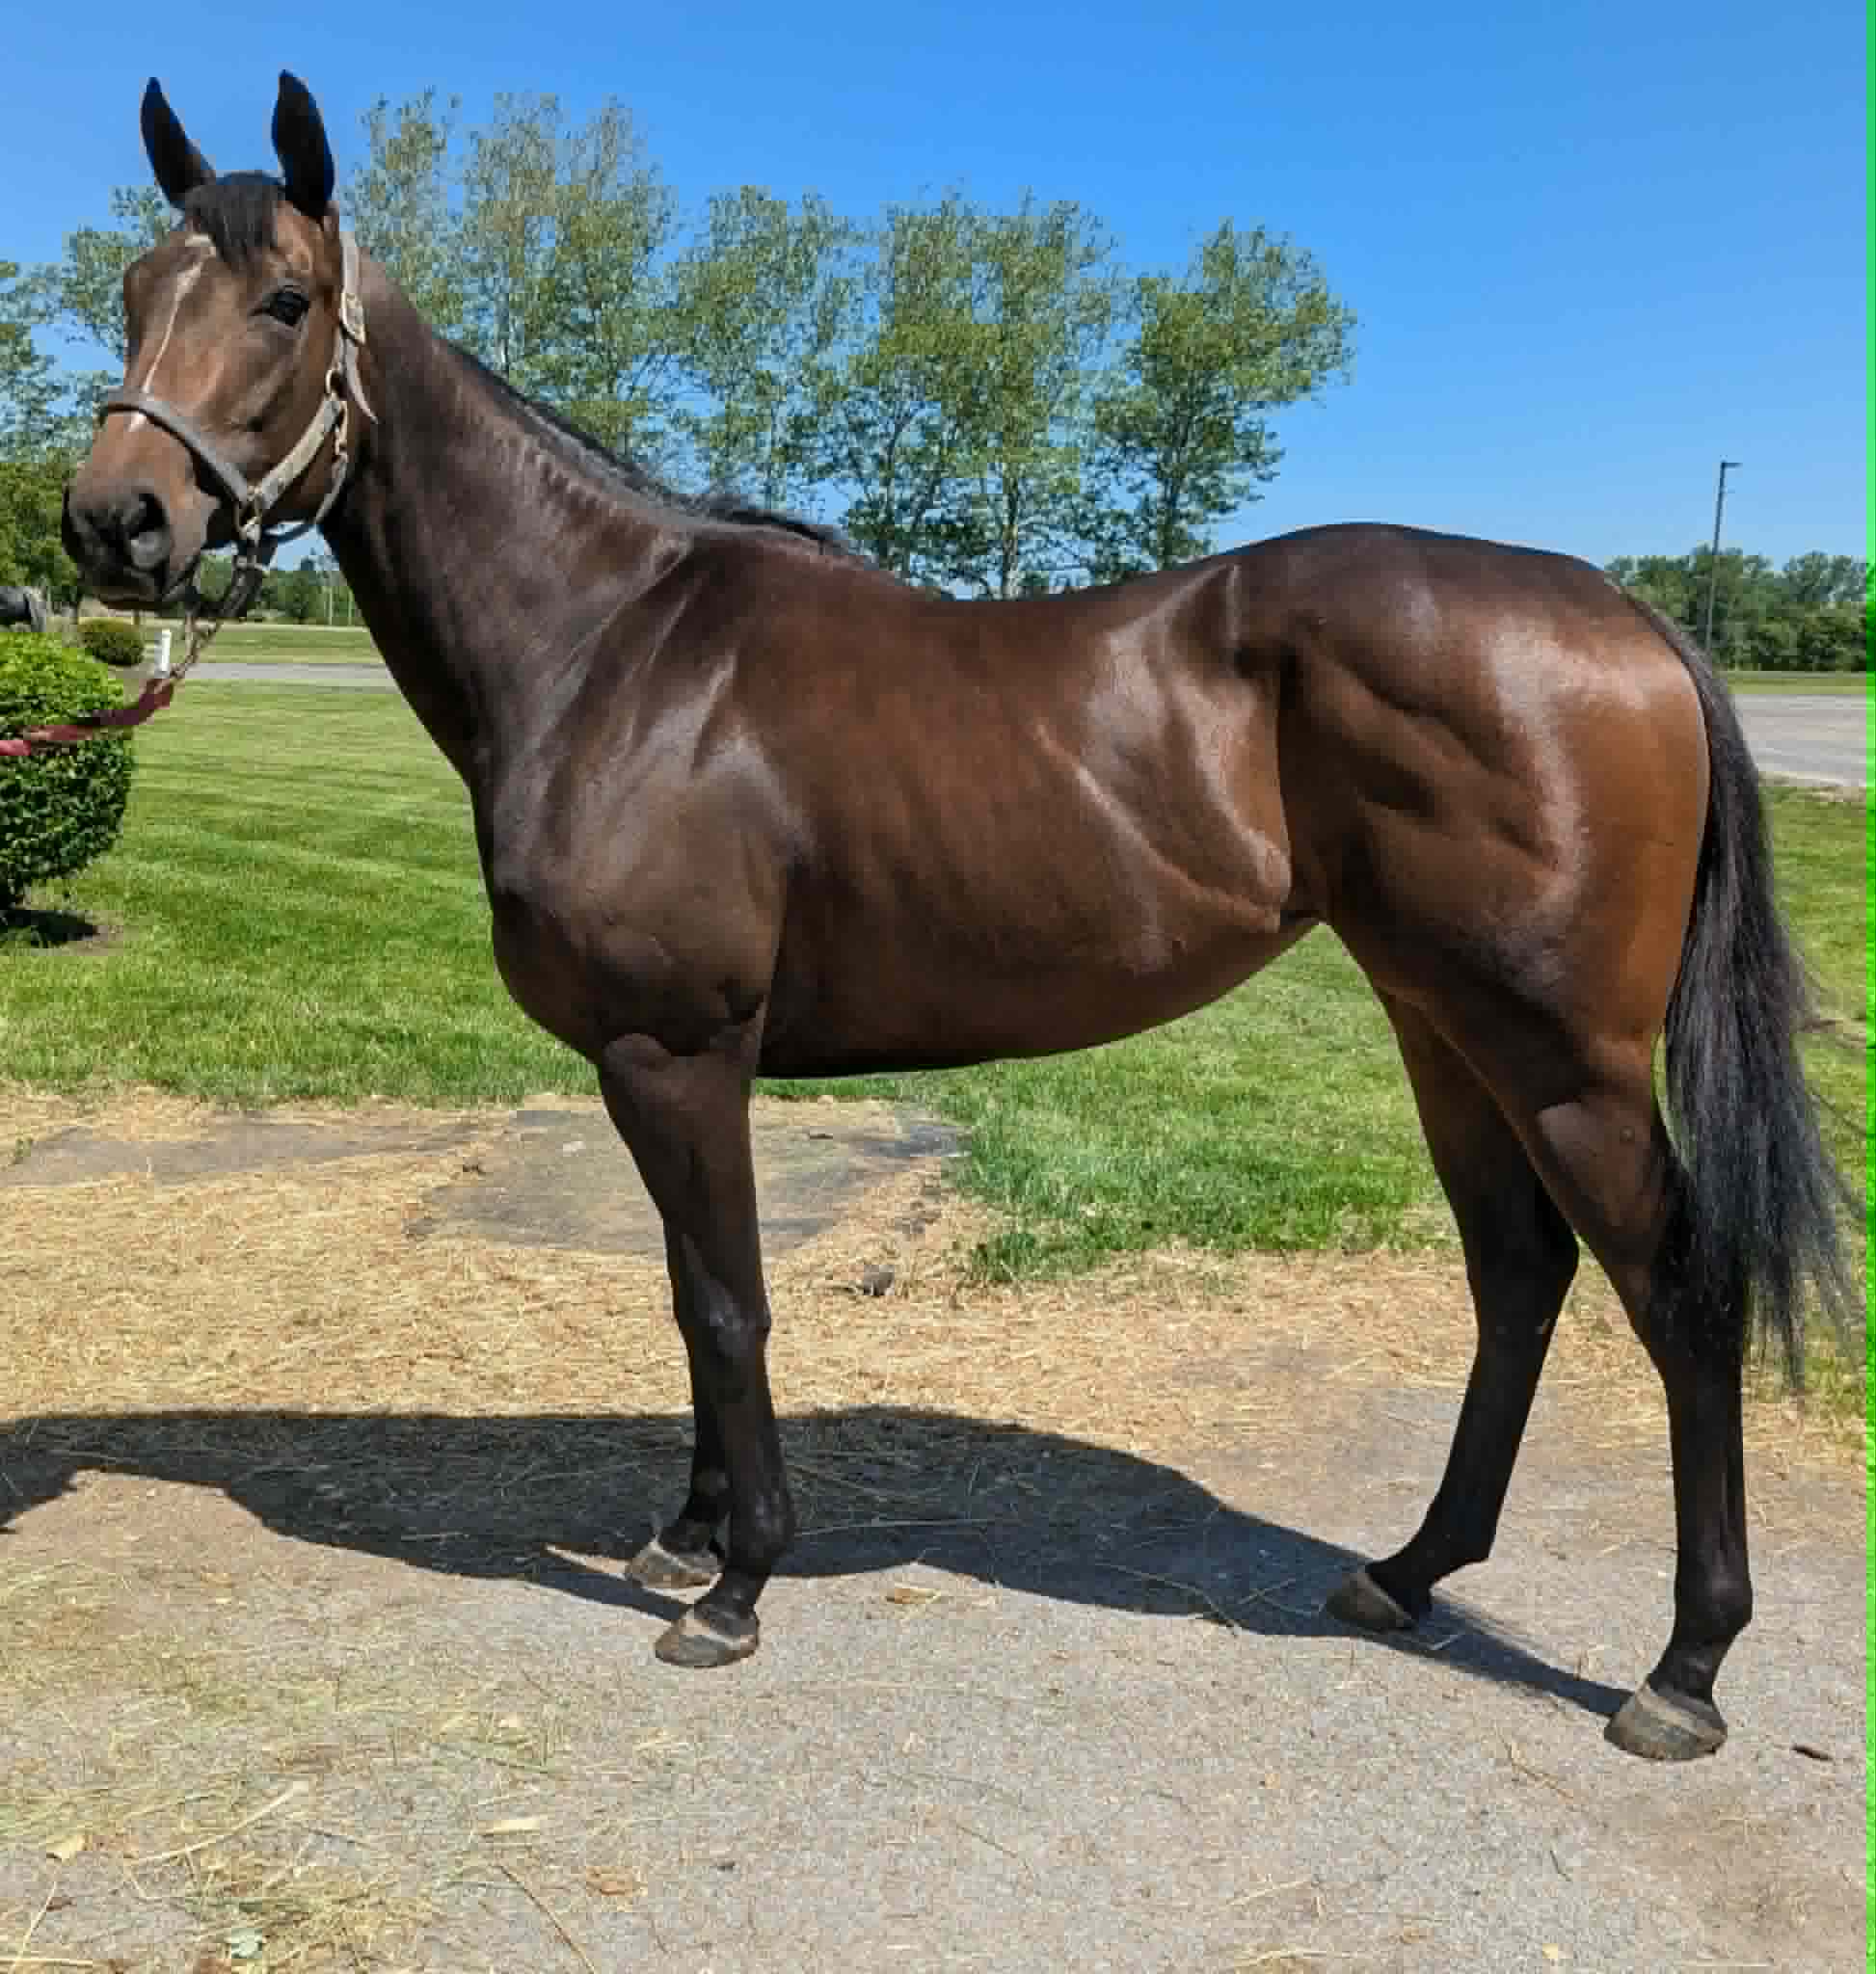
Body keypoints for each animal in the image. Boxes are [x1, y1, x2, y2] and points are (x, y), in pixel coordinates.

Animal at [61, 72, 1850, 1762]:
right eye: (137, 285)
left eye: (284, 298)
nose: (114, 521)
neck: (608, 649)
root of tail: (1629, 616)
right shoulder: (652, 1065)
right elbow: (684, 1292)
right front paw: (684, 1538)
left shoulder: (676, 1049)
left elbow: (728, 1300)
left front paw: (737, 1582)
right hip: (1442, 1025)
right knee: (1518, 1273)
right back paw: (1407, 1573)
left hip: (1561, 1053)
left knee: (1679, 1291)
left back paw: (1681, 1671)